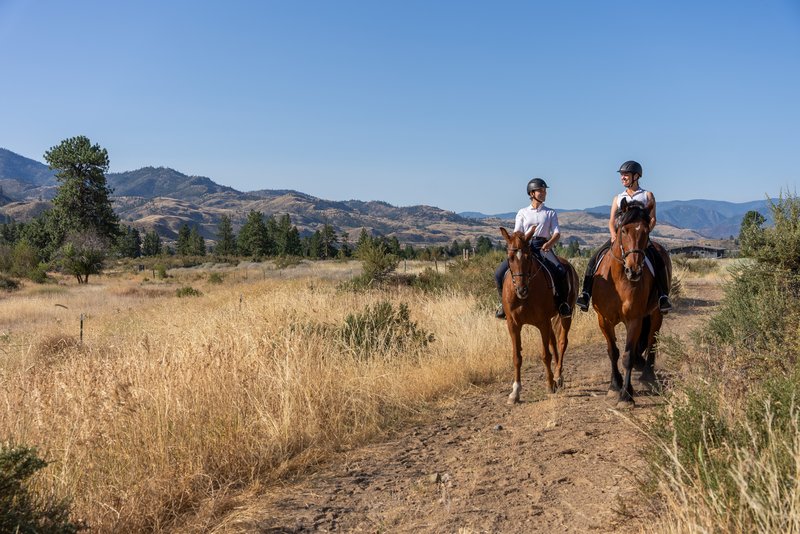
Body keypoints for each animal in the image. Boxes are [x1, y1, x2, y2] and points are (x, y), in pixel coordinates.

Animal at [496, 227, 580, 406]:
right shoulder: (513, 325)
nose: (521, 290)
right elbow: (517, 357)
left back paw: (558, 376)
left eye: (528, 257)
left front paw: (549, 385)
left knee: (562, 342)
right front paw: (515, 392)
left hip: (565, 316)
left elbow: (545, 355)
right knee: (554, 342)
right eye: (510, 258)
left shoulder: (542, 323)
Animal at [592, 199, 672, 408]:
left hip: (656, 313)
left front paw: (626, 395)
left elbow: (627, 356)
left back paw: (648, 376)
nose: (634, 270)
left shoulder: (634, 319)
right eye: (623, 230)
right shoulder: (603, 319)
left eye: (646, 230)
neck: (619, 279)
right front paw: (614, 386)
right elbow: (613, 352)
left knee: (652, 340)